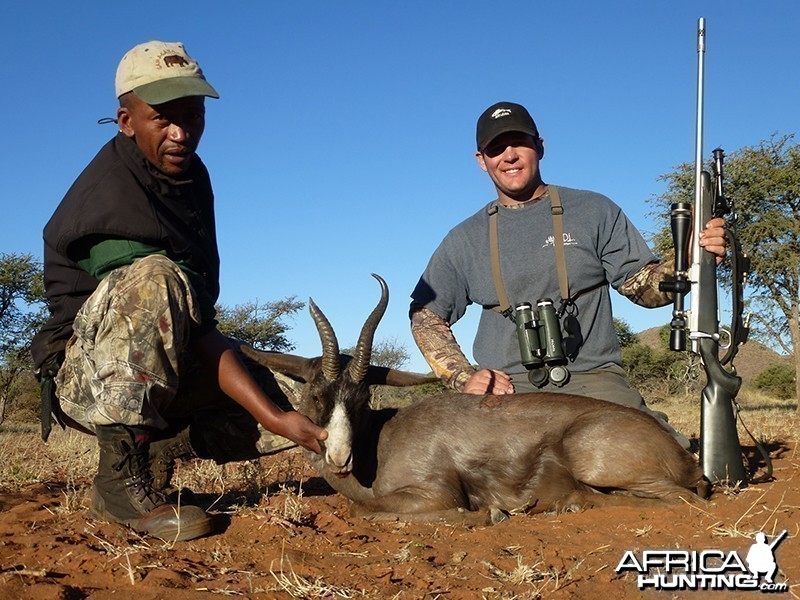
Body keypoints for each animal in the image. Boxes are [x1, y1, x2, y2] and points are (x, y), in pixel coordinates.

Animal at [242, 274, 708, 524]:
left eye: (362, 397)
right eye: (316, 393)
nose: (340, 458)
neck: (381, 440)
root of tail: (684, 455)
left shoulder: (436, 496)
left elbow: (369, 512)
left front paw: (493, 513)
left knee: (678, 498)